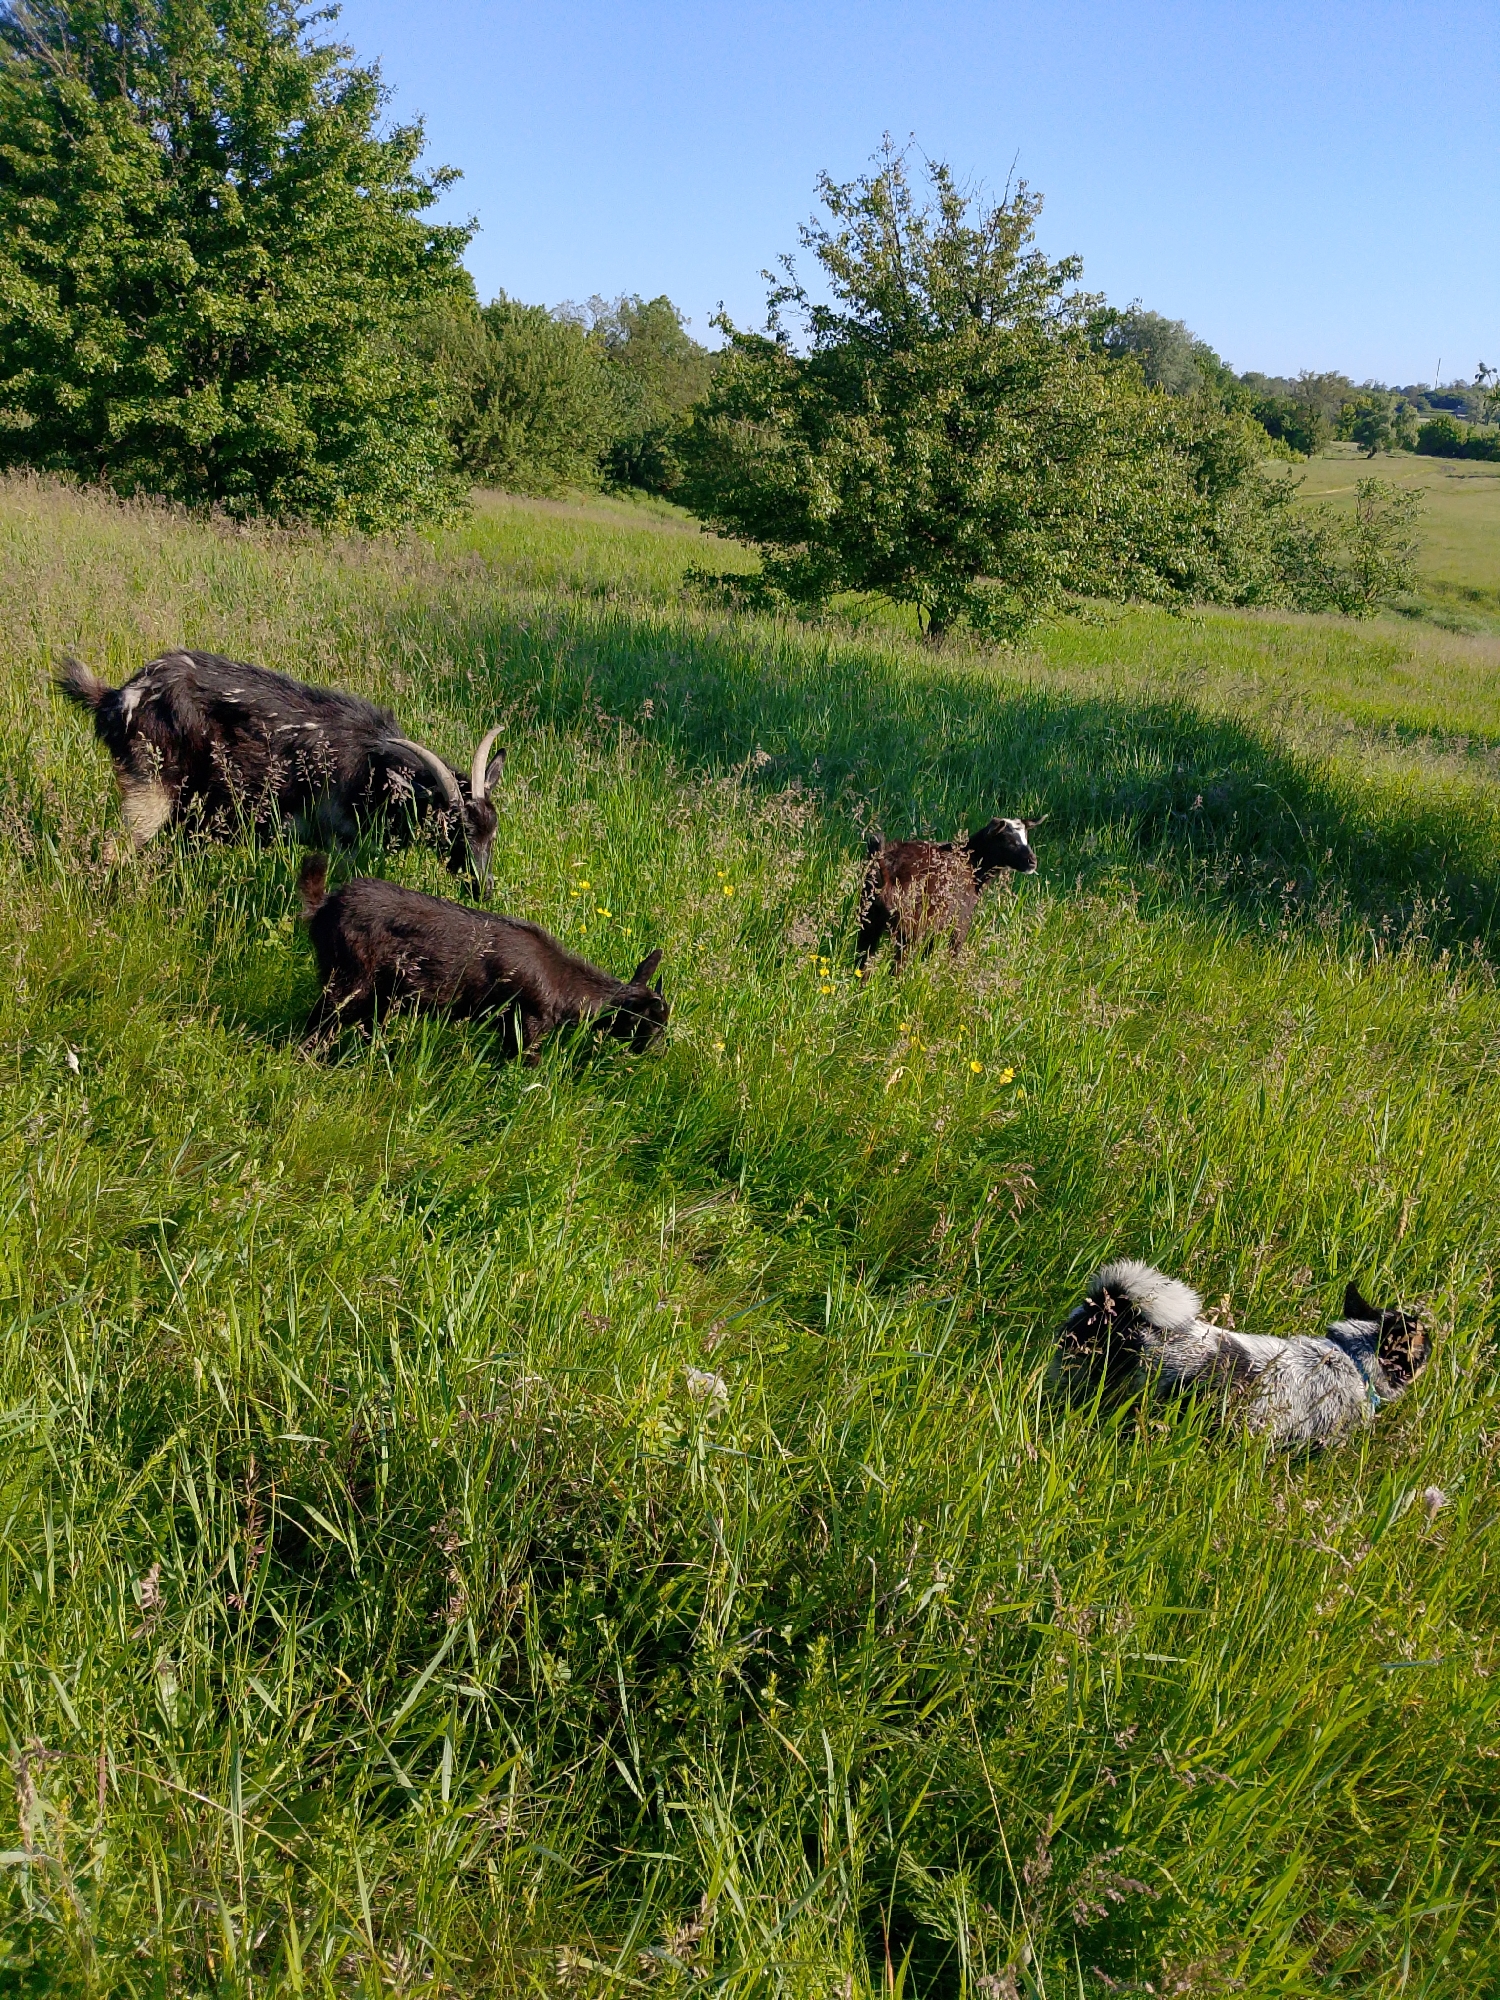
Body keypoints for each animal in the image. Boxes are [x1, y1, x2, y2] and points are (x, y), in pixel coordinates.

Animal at [57, 651, 505, 888]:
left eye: (493, 831)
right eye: (453, 827)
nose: (482, 888)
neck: (377, 771)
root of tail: (116, 698)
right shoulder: (340, 842)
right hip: (149, 787)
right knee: (113, 849)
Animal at [298, 855, 669, 1061]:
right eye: (655, 1022)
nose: (656, 1052)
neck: (564, 990)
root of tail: (323, 906)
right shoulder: (527, 1022)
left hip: (376, 995)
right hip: (350, 980)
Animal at [856, 815, 1043, 967]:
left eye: (1026, 838)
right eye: (1007, 840)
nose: (1032, 861)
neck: (972, 864)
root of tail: (887, 868)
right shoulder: (959, 922)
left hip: (868, 916)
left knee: (863, 961)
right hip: (909, 924)